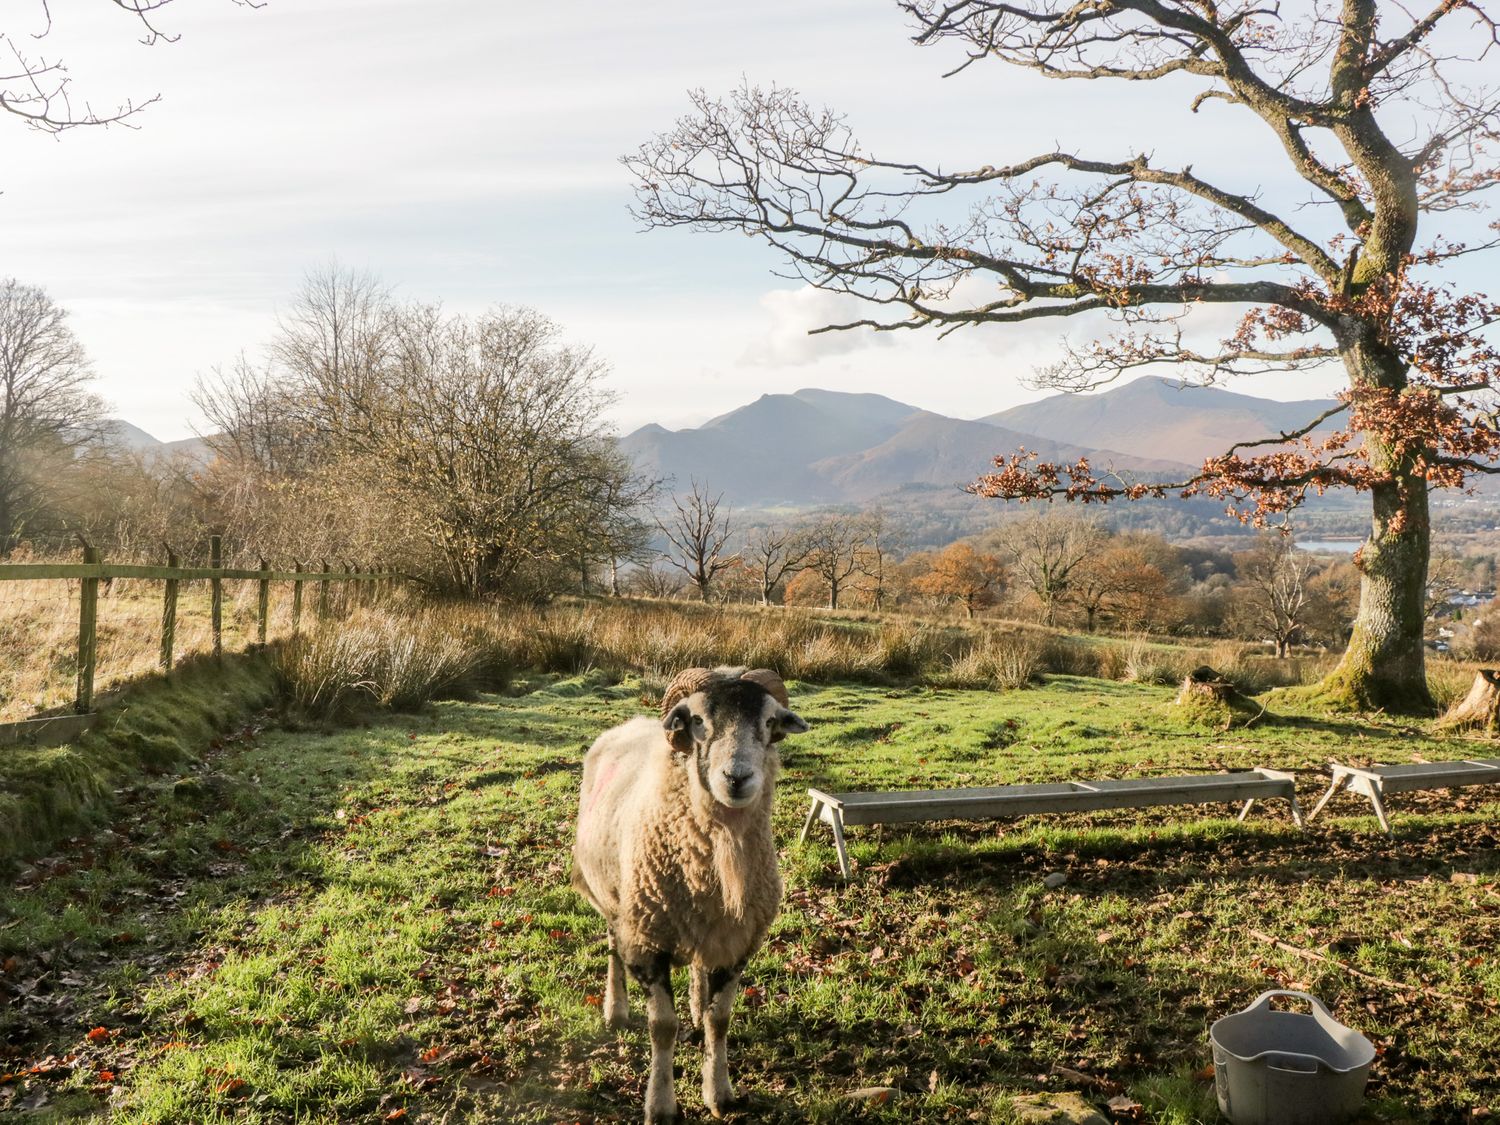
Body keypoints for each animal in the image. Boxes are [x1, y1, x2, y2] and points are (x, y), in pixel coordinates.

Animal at [570, 666, 810, 1122]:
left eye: (770, 721)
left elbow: (721, 1019)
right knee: (611, 947)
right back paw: (616, 1009)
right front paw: (660, 1106)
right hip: (614, 899)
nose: (737, 778)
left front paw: (719, 1093)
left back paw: (696, 1009)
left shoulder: (738, 943)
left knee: (699, 971)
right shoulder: (646, 941)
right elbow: (663, 1027)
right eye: (697, 720)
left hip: (704, 924)